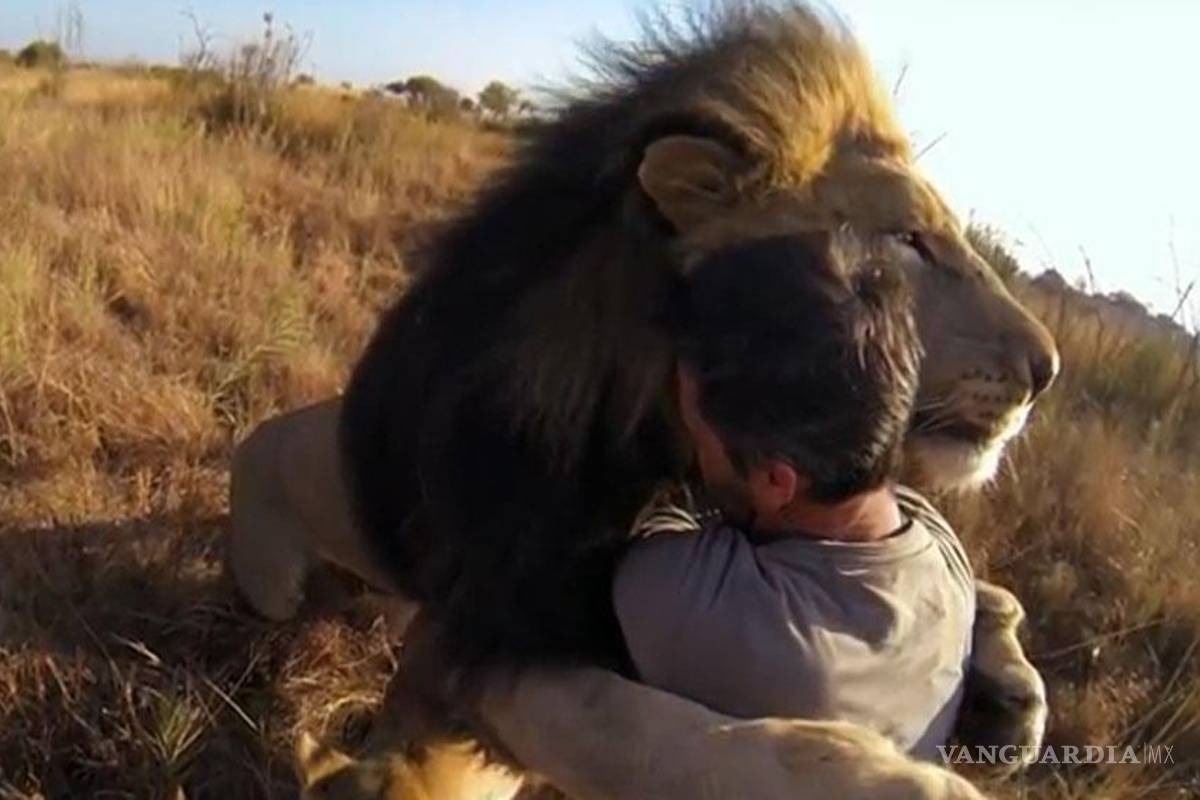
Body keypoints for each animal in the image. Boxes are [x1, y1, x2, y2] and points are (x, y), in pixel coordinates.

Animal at [232, 3, 1057, 796]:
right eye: (910, 239)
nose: (1045, 371)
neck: (651, 418)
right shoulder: (492, 619)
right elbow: (637, 727)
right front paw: (885, 780)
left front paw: (1013, 688)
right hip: (273, 584)